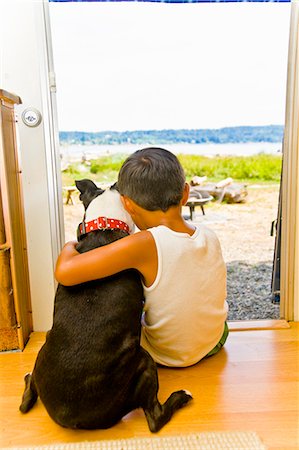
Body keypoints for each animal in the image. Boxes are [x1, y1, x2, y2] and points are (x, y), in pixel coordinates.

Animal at [19, 179, 192, 432]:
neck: (105, 224)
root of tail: (69, 416)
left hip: (45, 345)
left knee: (28, 396)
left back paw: (28, 378)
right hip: (144, 361)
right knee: (154, 418)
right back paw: (181, 396)